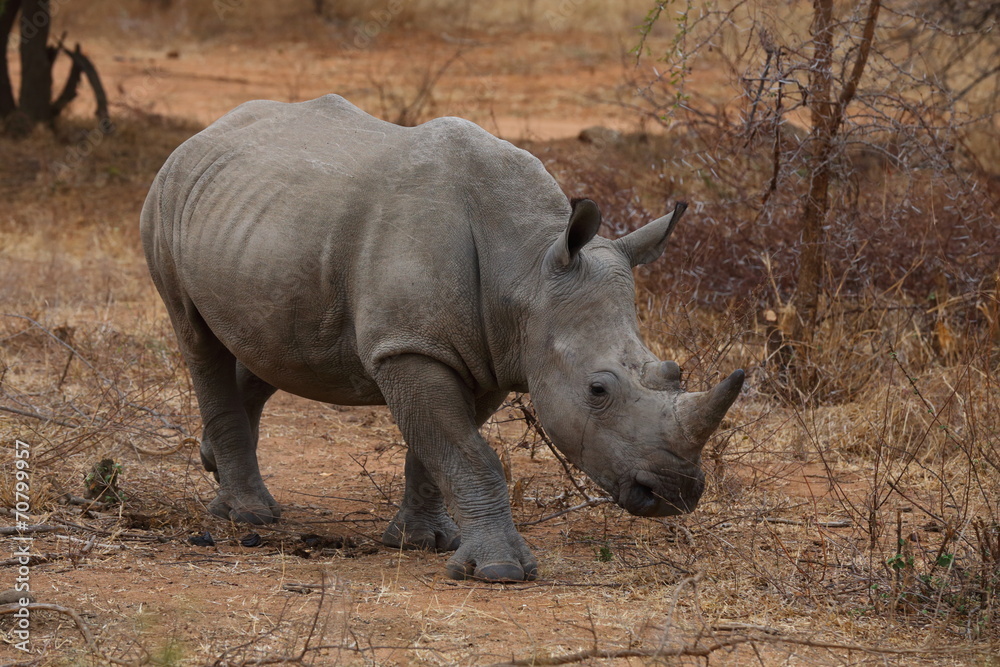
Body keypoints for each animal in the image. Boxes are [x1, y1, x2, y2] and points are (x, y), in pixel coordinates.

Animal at [141, 95, 744, 582]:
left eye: (673, 372)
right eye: (598, 390)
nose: (675, 492)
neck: (528, 266)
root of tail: (204, 133)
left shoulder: (487, 353)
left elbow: (439, 451)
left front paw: (422, 541)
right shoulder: (411, 346)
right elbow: (469, 454)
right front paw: (500, 571)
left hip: (260, 222)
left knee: (274, 344)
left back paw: (213, 463)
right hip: (167, 197)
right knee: (197, 339)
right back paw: (248, 514)